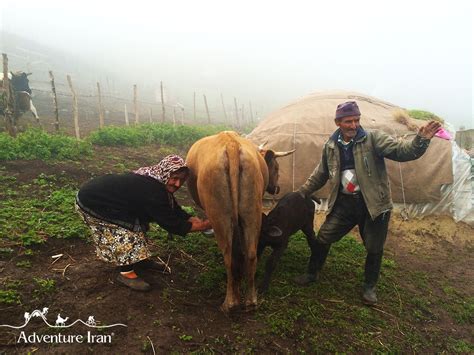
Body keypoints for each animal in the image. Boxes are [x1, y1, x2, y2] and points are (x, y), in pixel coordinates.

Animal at [186, 131, 292, 312]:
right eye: (277, 168)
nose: (277, 188)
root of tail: (231, 145)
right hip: (252, 213)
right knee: (250, 254)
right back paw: (250, 301)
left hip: (221, 217)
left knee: (229, 257)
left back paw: (230, 302)